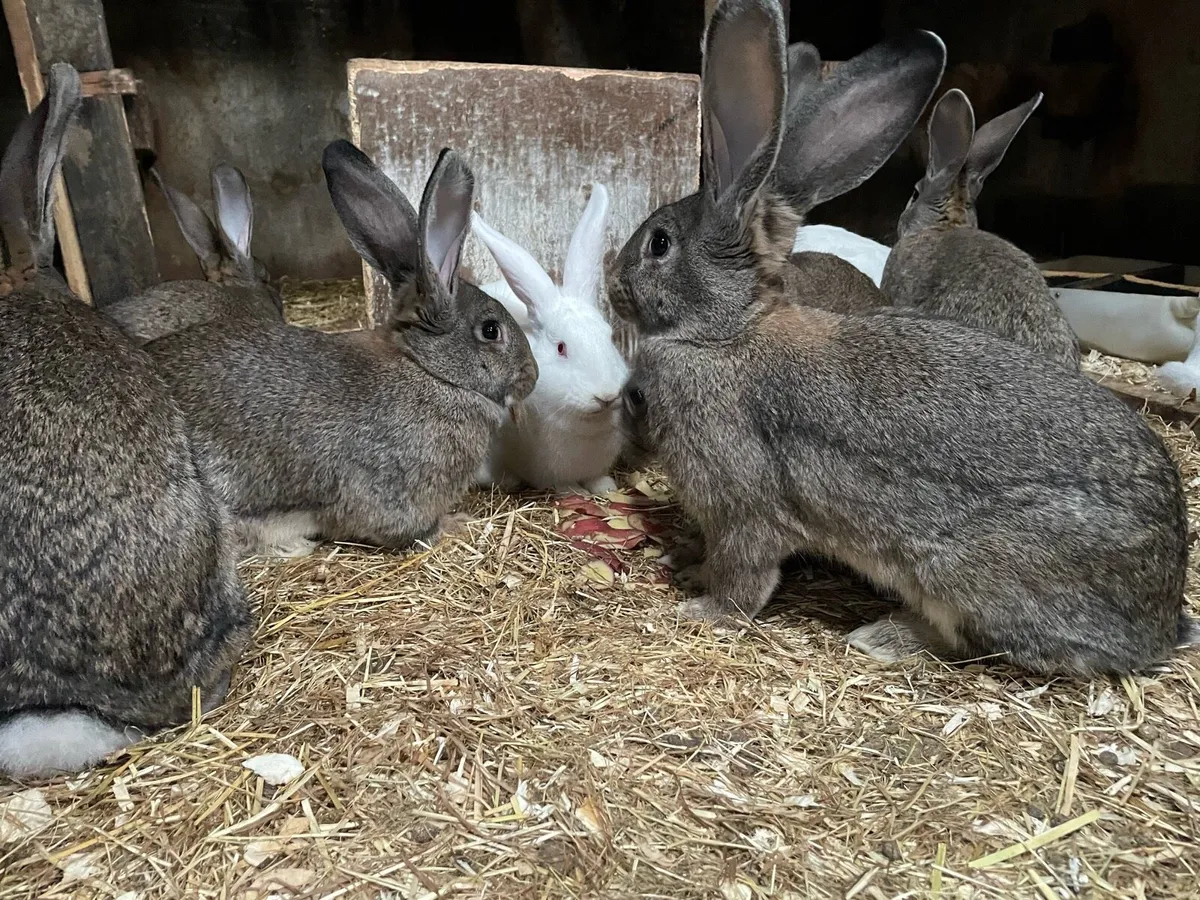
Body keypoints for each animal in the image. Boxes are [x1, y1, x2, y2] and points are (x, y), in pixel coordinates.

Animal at [470, 183, 629, 494]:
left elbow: (597, 478)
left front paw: (605, 488)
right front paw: (574, 491)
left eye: (609, 337)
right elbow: (561, 485)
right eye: (561, 348)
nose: (606, 395)